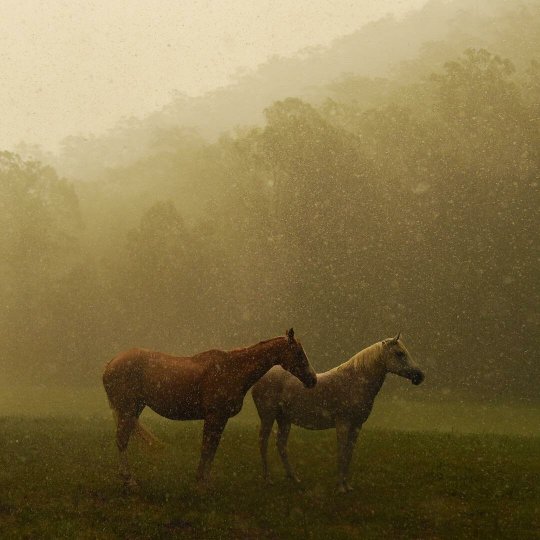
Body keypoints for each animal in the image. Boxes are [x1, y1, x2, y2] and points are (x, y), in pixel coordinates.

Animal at [102, 326, 316, 488]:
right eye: (299, 353)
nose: (312, 379)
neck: (233, 369)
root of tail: (110, 363)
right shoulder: (214, 416)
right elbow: (207, 447)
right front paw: (201, 482)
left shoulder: (220, 419)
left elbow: (212, 448)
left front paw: (205, 479)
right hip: (128, 410)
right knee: (121, 441)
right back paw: (129, 480)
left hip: (134, 410)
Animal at [251, 332, 424, 492]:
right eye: (399, 353)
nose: (419, 376)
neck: (354, 382)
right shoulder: (343, 424)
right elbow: (341, 452)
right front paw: (340, 487)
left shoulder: (356, 426)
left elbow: (349, 453)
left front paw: (347, 486)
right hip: (268, 417)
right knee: (263, 442)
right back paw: (268, 479)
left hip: (284, 420)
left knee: (281, 444)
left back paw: (294, 478)